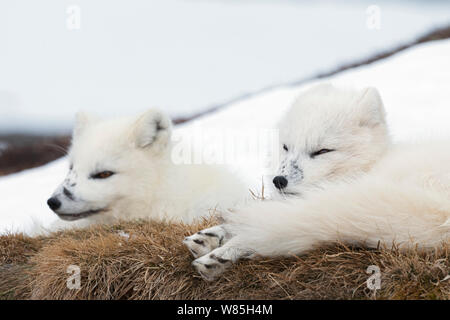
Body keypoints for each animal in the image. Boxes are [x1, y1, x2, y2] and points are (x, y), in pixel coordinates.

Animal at [185, 84, 450, 282]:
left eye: (322, 151)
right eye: (286, 146)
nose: (279, 181)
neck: (371, 163)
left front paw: (221, 252)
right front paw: (209, 236)